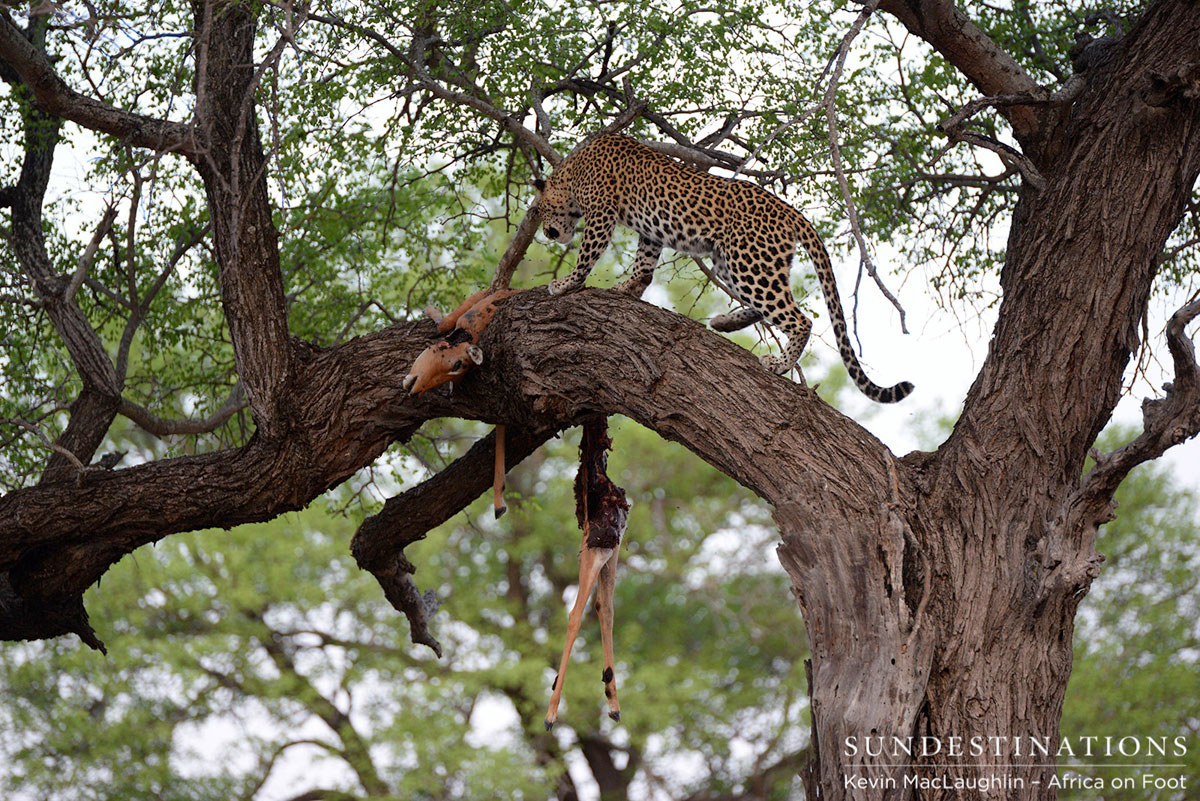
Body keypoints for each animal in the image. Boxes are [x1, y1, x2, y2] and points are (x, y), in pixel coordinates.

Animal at [533, 133, 913, 404]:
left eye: (537, 211)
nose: (546, 233)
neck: (572, 170)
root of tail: (790, 210)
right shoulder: (650, 232)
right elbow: (644, 263)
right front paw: (628, 287)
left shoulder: (601, 214)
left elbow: (587, 255)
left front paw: (565, 284)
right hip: (736, 260)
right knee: (770, 305)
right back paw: (725, 323)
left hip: (749, 262)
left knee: (799, 318)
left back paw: (778, 364)